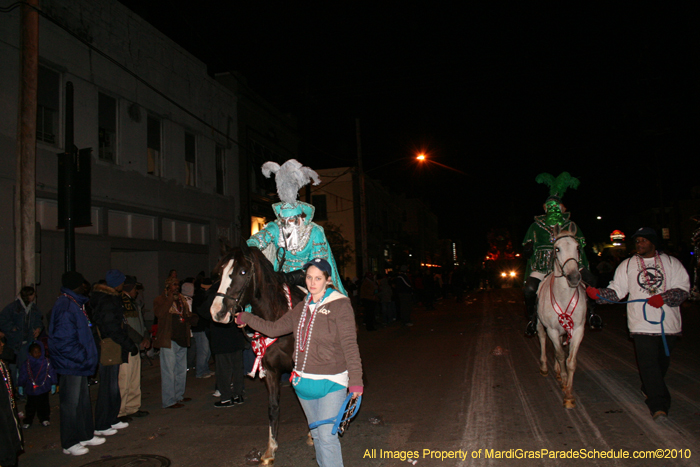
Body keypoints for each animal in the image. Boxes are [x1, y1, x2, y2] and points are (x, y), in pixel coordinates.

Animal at [208, 247, 306, 466]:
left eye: (243, 272)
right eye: (220, 272)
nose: (217, 312)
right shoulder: (270, 370)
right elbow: (273, 408)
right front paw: (270, 450)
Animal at [536, 225, 584, 408]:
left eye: (578, 247)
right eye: (557, 249)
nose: (574, 277)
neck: (563, 296)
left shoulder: (578, 330)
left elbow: (570, 361)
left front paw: (568, 394)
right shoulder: (552, 329)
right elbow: (560, 354)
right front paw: (564, 382)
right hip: (540, 324)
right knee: (543, 339)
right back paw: (544, 367)